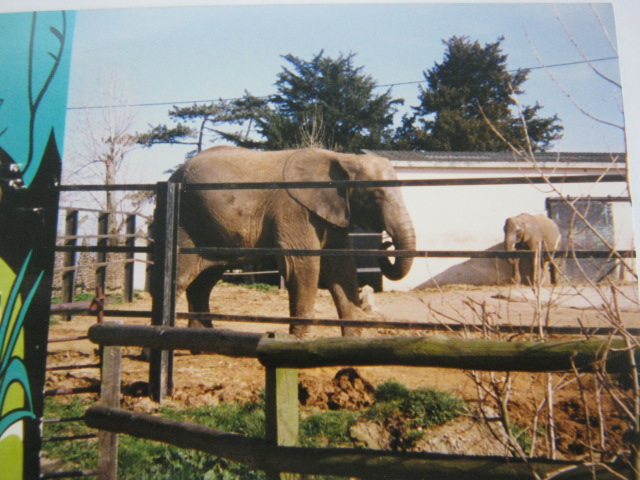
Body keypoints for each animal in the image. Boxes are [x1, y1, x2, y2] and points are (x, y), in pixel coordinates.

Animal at [169, 146, 416, 337]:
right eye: (375, 196)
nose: (386, 243)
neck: (344, 158)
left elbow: (342, 267)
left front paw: (352, 342)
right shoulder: (295, 211)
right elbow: (303, 266)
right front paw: (299, 342)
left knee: (203, 283)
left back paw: (199, 341)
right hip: (185, 223)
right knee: (180, 279)